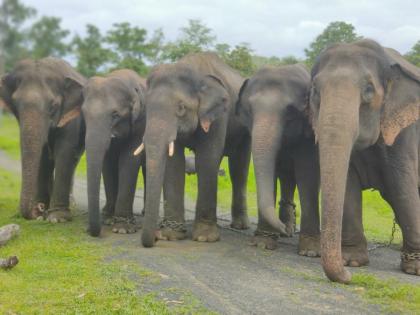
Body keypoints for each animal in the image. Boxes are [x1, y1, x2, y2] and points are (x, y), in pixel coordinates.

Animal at [0, 58, 85, 223]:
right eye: (15, 105)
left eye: (53, 106)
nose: (38, 208)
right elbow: (43, 155)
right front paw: (43, 213)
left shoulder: (72, 116)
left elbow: (64, 151)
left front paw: (57, 218)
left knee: (74, 159)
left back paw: (70, 203)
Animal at [79, 69, 148, 237]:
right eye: (84, 114)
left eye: (115, 114)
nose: (89, 230)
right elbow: (107, 163)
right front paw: (108, 219)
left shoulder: (141, 123)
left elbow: (129, 161)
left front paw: (123, 228)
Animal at [138, 52, 253, 249]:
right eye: (146, 108)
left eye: (181, 108)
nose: (156, 236)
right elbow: (174, 162)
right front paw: (171, 235)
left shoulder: (219, 115)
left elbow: (207, 159)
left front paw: (204, 238)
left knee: (239, 168)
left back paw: (240, 226)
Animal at [236, 63, 322, 252]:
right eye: (249, 110)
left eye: (290, 112)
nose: (281, 229)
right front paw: (263, 243)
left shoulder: (309, 136)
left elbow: (308, 173)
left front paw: (310, 251)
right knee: (286, 178)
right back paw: (288, 229)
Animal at [308, 39, 420, 284]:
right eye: (315, 91)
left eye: (369, 90)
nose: (348, 277)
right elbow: (348, 185)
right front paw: (352, 262)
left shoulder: (404, 132)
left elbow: (402, 188)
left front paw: (415, 269)